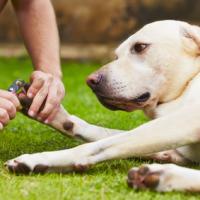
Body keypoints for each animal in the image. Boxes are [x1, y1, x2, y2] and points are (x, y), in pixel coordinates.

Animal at [5, 20, 200, 192]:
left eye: (140, 47)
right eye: (116, 56)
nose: (90, 81)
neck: (187, 84)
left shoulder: (186, 121)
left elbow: (98, 145)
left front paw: (40, 159)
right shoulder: (178, 147)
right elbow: (102, 134)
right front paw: (57, 116)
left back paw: (159, 175)